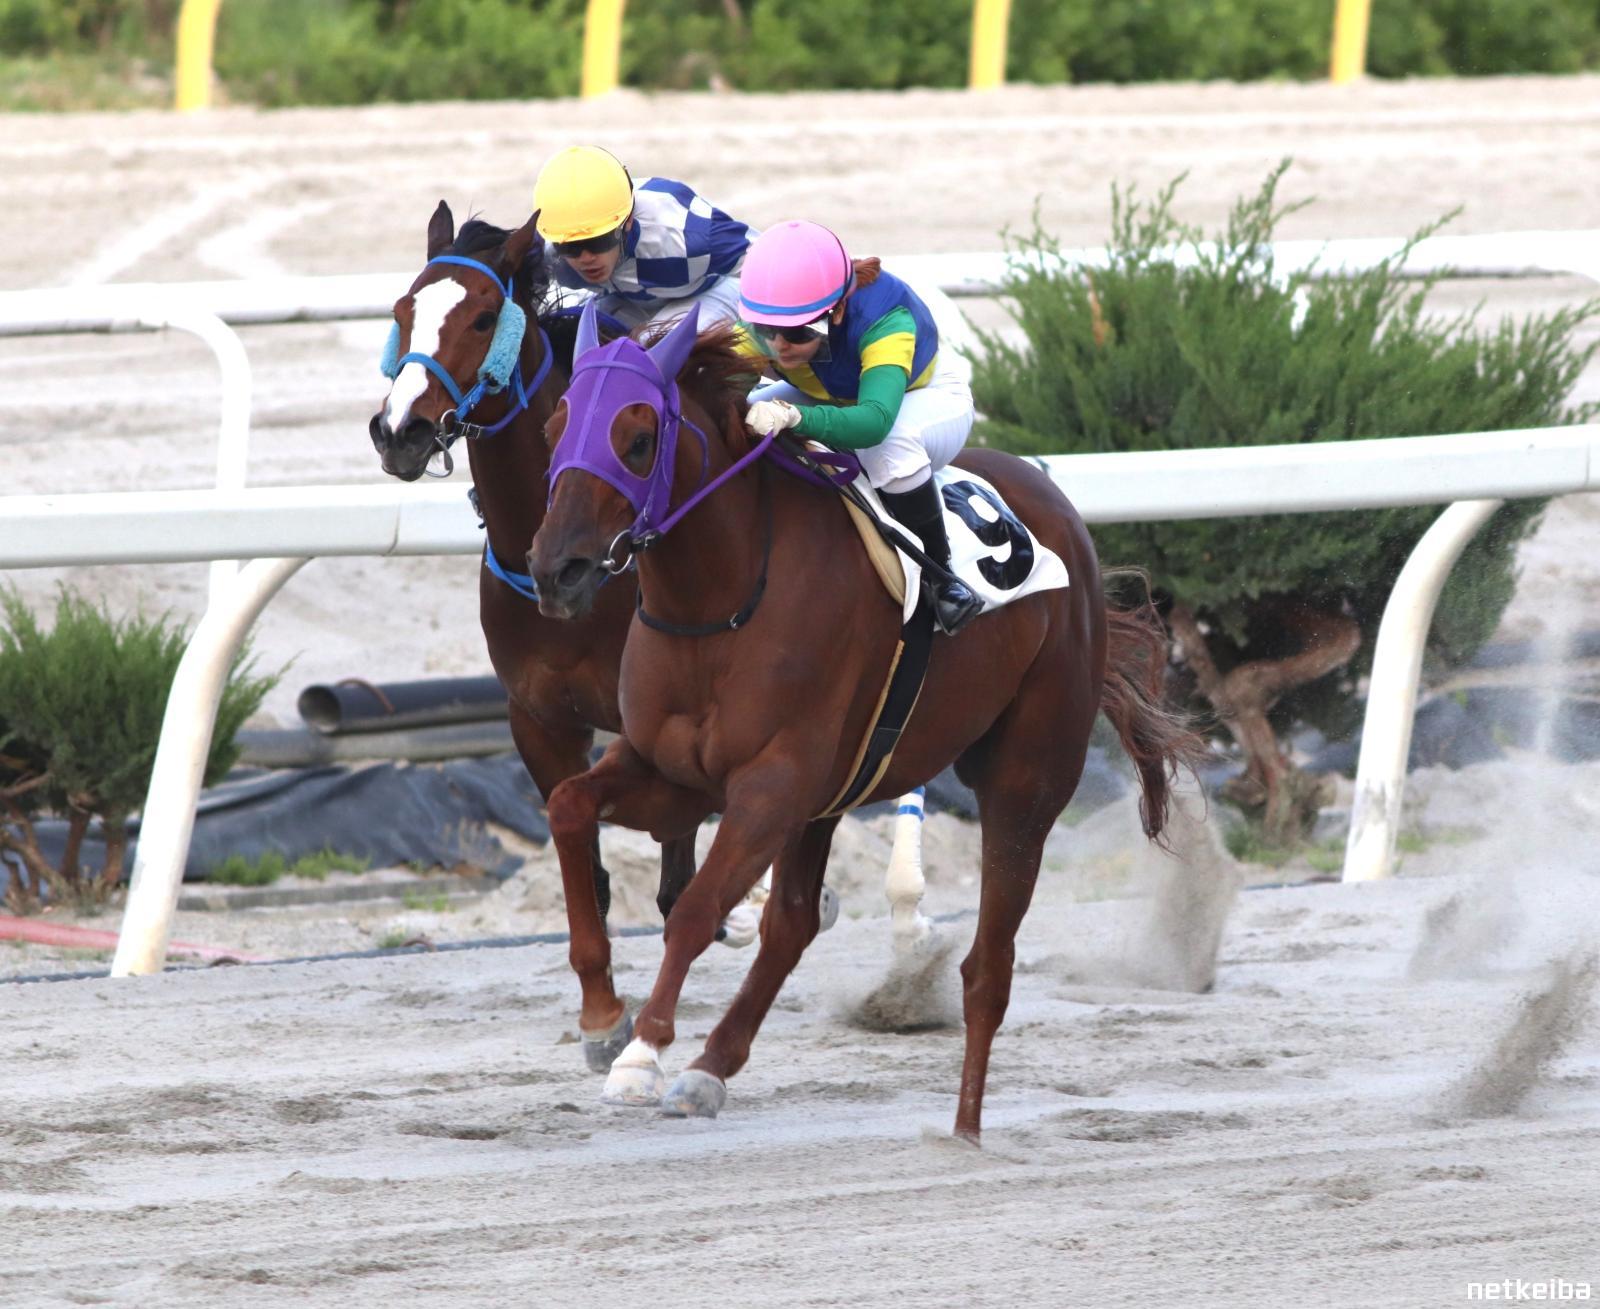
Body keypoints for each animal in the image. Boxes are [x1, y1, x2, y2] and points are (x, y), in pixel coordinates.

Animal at [526, 302, 1201, 1142]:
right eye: (556, 427)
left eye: (639, 436)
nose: (556, 571)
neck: (720, 600)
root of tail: (1067, 522)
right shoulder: (675, 770)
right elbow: (569, 807)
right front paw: (602, 1016)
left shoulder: (771, 784)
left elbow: (696, 910)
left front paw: (641, 1054)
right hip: (833, 792)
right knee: (791, 924)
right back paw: (713, 1067)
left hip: (1025, 777)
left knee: (989, 964)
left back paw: (965, 1129)